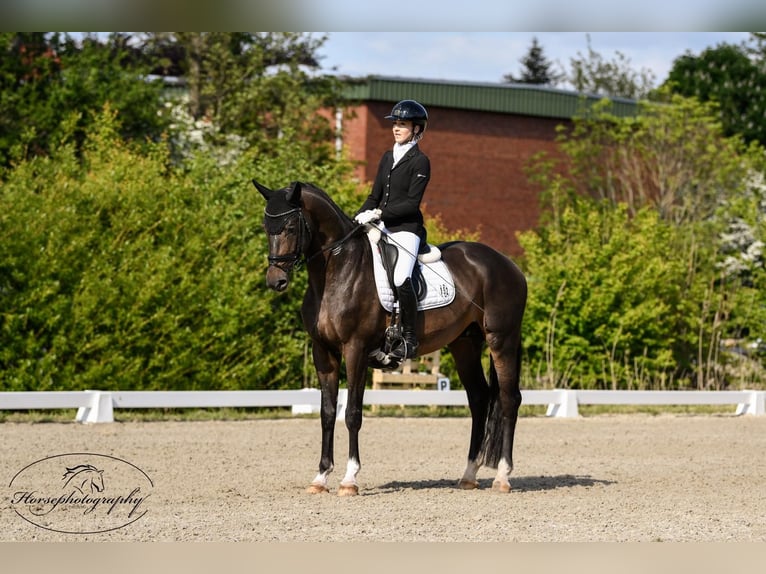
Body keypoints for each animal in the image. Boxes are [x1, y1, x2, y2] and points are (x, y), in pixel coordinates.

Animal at [254, 180, 528, 496]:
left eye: (289, 227)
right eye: (266, 227)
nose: (276, 281)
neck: (337, 271)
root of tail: (510, 265)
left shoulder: (356, 349)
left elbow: (352, 413)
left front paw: (349, 479)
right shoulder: (323, 351)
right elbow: (327, 412)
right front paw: (320, 477)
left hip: (501, 340)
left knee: (508, 399)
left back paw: (503, 477)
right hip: (465, 344)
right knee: (480, 399)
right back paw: (468, 475)